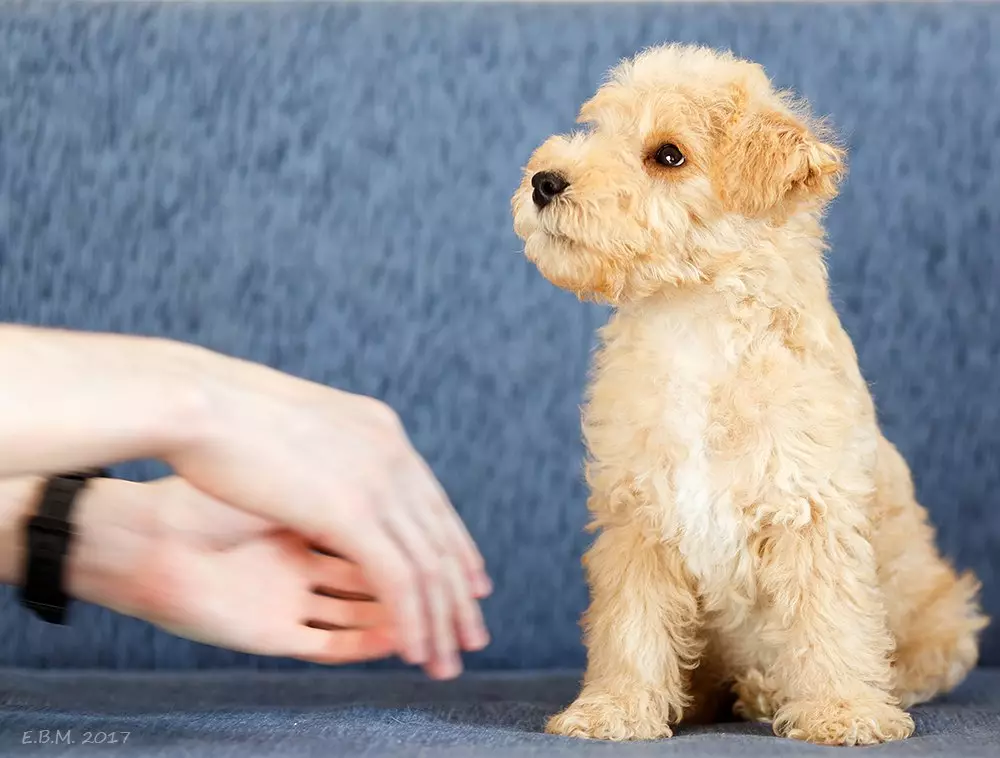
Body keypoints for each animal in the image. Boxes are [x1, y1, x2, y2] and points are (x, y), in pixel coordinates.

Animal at [512, 44, 988, 752]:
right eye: (596, 128)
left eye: (668, 155)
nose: (545, 180)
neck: (695, 321)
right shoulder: (638, 519)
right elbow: (630, 629)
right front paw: (613, 711)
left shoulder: (811, 512)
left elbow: (830, 624)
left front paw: (843, 712)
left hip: (941, 612)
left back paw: (777, 691)